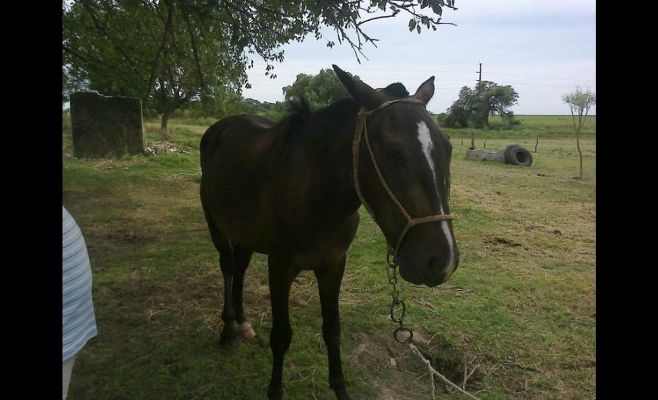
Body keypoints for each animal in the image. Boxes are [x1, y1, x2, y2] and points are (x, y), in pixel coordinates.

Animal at [199, 65, 458, 400]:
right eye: (391, 152)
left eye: (448, 148)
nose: (441, 262)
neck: (315, 197)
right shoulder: (279, 267)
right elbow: (281, 336)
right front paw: (275, 390)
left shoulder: (333, 265)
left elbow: (332, 331)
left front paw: (340, 388)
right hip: (216, 224)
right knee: (229, 268)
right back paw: (229, 328)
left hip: (245, 231)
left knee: (240, 267)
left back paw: (243, 323)